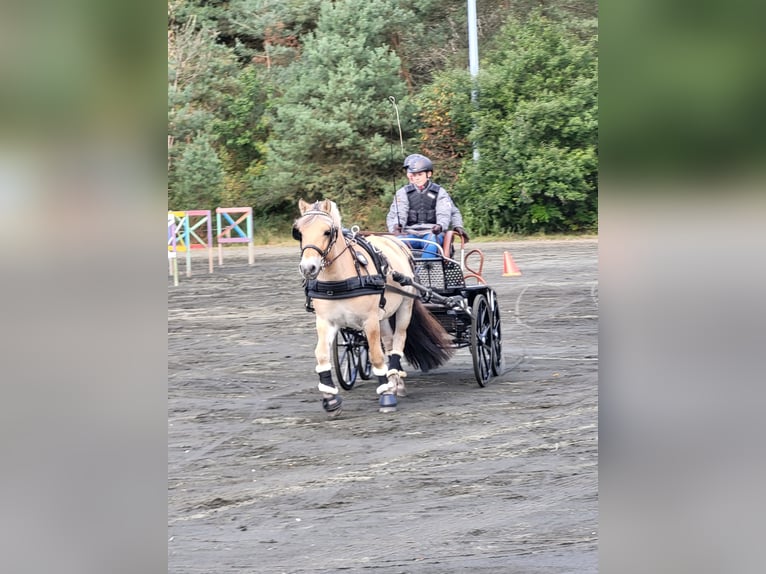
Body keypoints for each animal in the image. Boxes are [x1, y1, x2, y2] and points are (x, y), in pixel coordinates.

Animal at [292, 200, 452, 416]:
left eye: (327, 231)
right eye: (299, 232)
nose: (308, 268)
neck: (340, 280)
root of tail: (397, 242)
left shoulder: (369, 320)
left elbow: (376, 357)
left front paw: (386, 396)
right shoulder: (326, 322)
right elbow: (322, 355)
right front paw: (331, 399)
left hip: (404, 307)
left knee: (399, 340)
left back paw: (395, 381)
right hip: (382, 316)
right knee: (389, 342)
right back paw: (394, 380)